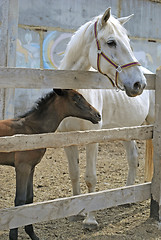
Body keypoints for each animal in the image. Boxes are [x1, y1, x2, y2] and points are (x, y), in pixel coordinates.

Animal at [57, 7, 150, 229]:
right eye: (111, 42)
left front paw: (90, 220)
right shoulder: (67, 139)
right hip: (126, 131)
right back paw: (128, 197)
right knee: (133, 158)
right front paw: (76, 212)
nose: (139, 84)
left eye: (129, 42)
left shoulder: (92, 139)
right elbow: (74, 174)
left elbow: (90, 177)